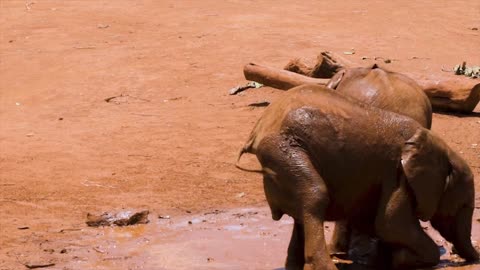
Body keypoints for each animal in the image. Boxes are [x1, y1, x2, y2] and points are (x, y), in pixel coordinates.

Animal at [235, 85, 476, 270]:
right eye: (463, 206)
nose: (469, 257)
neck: (438, 146)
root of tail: (258, 129)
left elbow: (376, 223)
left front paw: (388, 260)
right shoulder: (398, 175)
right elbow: (391, 224)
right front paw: (403, 260)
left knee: (301, 215)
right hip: (283, 151)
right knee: (315, 196)